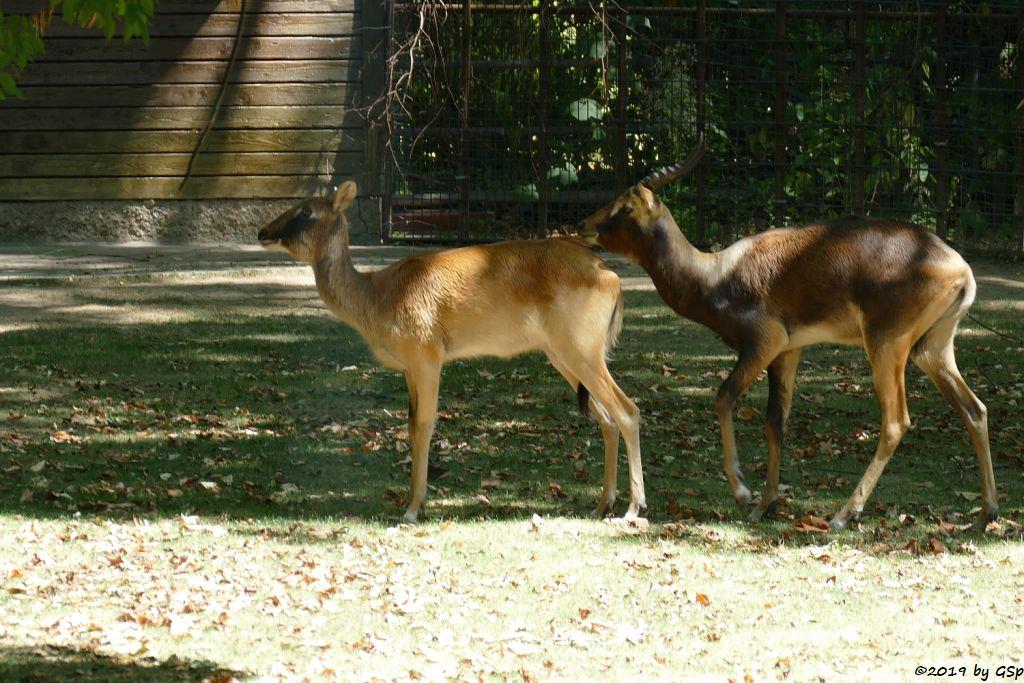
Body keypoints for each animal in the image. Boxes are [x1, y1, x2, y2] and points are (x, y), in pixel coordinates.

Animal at [256, 180, 643, 524]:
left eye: (305, 211)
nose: (263, 232)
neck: (378, 298)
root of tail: (612, 278)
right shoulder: (408, 367)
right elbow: (410, 424)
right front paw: (415, 502)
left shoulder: (426, 353)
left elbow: (425, 424)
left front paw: (412, 509)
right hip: (561, 352)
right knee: (606, 418)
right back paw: (601, 505)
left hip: (582, 347)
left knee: (627, 411)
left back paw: (633, 509)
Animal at [581, 141, 995, 532]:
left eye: (626, 207)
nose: (584, 225)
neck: (716, 275)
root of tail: (960, 269)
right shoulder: (788, 353)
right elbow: (774, 422)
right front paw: (766, 504)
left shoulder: (765, 343)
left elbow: (723, 397)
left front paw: (742, 491)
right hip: (932, 349)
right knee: (974, 409)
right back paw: (984, 515)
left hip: (887, 345)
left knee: (896, 422)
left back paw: (844, 515)